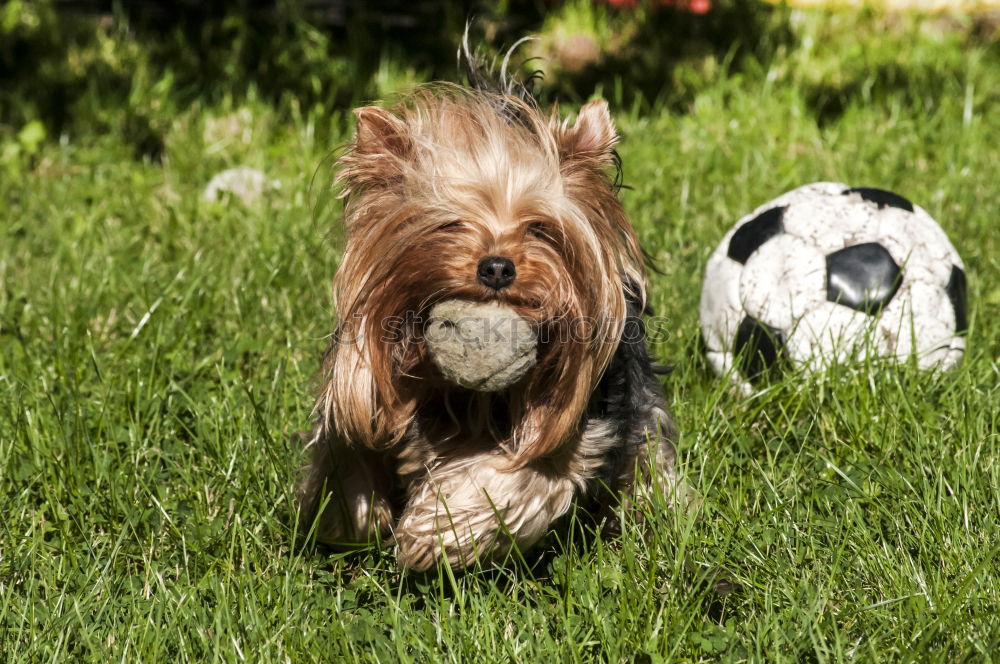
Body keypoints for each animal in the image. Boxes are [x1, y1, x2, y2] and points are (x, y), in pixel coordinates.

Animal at [296, 46, 680, 572]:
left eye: (539, 228)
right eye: (451, 223)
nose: (497, 267)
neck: (466, 397)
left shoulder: (579, 432)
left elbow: (516, 474)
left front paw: (435, 531)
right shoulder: (361, 391)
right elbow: (350, 444)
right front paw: (351, 517)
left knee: (648, 450)